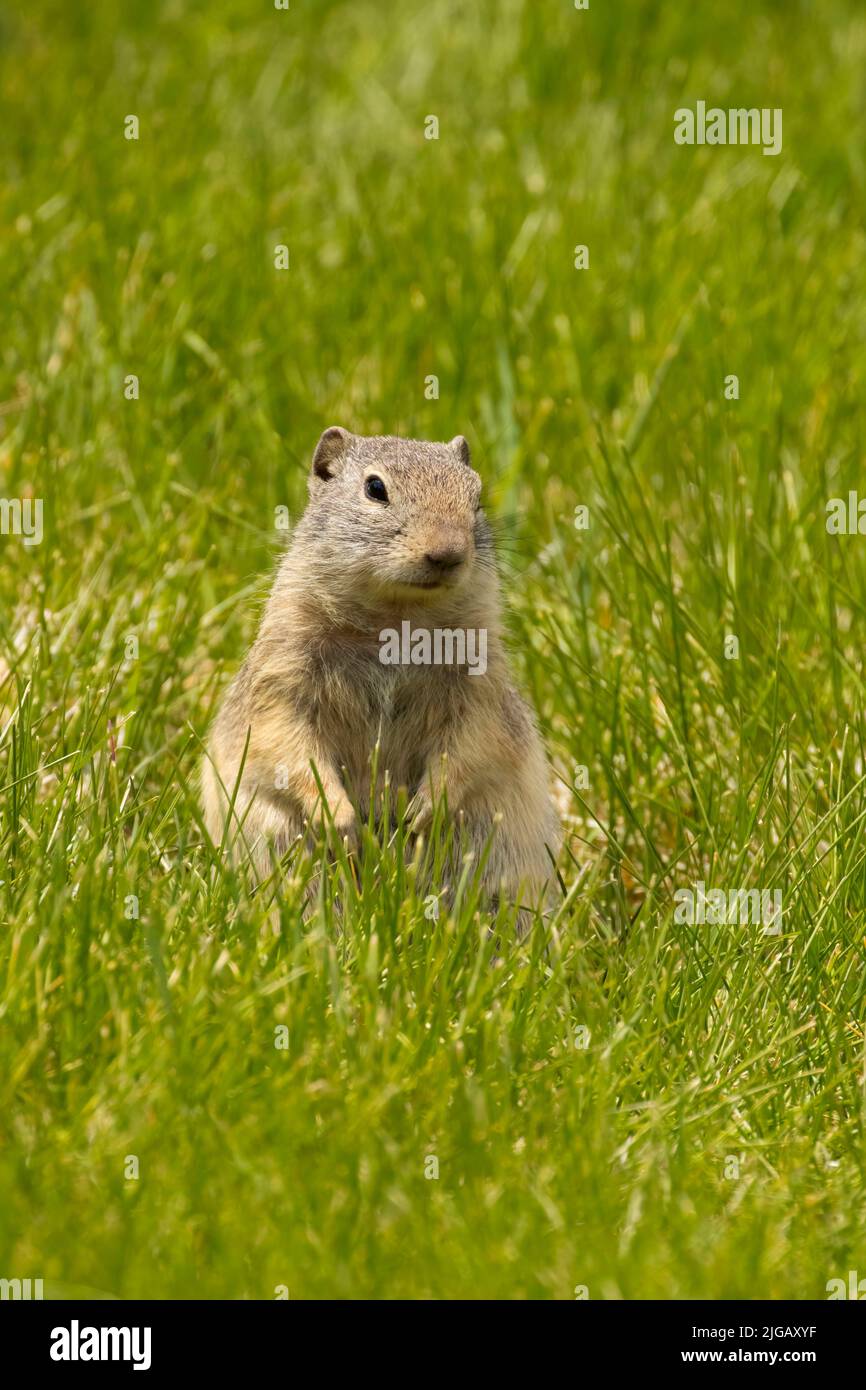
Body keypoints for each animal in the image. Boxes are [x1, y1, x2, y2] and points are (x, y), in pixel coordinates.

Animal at [204, 428, 561, 906]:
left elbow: (473, 742)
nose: (447, 553)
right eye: (375, 489)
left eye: (477, 497)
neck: (394, 620)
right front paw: (339, 817)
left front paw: (427, 809)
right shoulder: (282, 675)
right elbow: (284, 742)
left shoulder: (480, 684)